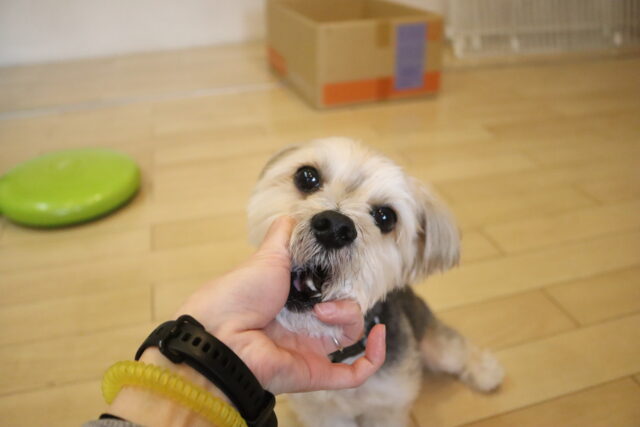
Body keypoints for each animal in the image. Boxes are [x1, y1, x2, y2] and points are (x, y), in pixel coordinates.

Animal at [247, 137, 504, 427]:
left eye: (386, 217)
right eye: (306, 176)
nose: (335, 227)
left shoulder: (387, 404)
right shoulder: (322, 412)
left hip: (431, 342)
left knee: (454, 347)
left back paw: (486, 372)